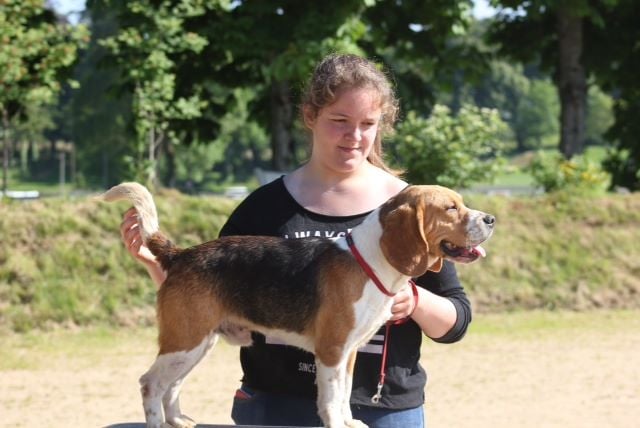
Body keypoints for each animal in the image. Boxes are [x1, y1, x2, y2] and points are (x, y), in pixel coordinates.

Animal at [101, 182, 496, 426]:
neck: (370, 259)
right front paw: (337, 425)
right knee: (151, 383)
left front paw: (350, 421)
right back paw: (157, 422)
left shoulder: (348, 352)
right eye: (451, 208)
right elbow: (330, 399)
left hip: (197, 344)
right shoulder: (332, 350)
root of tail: (181, 255)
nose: (491, 219)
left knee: (172, 385)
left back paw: (176, 420)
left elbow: (344, 394)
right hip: (185, 341)